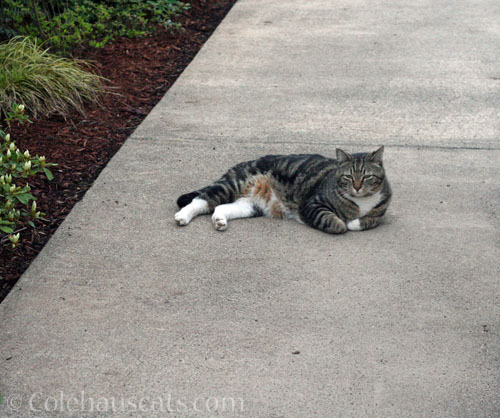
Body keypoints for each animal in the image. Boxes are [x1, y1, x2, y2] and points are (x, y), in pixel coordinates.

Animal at [175, 146, 390, 232]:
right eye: (348, 177)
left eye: (367, 176)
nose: (357, 187)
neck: (361, 202)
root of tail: (243, 163)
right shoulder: (312, 205)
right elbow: (336, 224)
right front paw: (342, 222)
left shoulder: (380, 211)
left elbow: (370, 220)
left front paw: (355, 221)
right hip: (232, 184)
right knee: (201, 200)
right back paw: (182, 217)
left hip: (251, 205)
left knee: (221, 207)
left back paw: (219, 220)